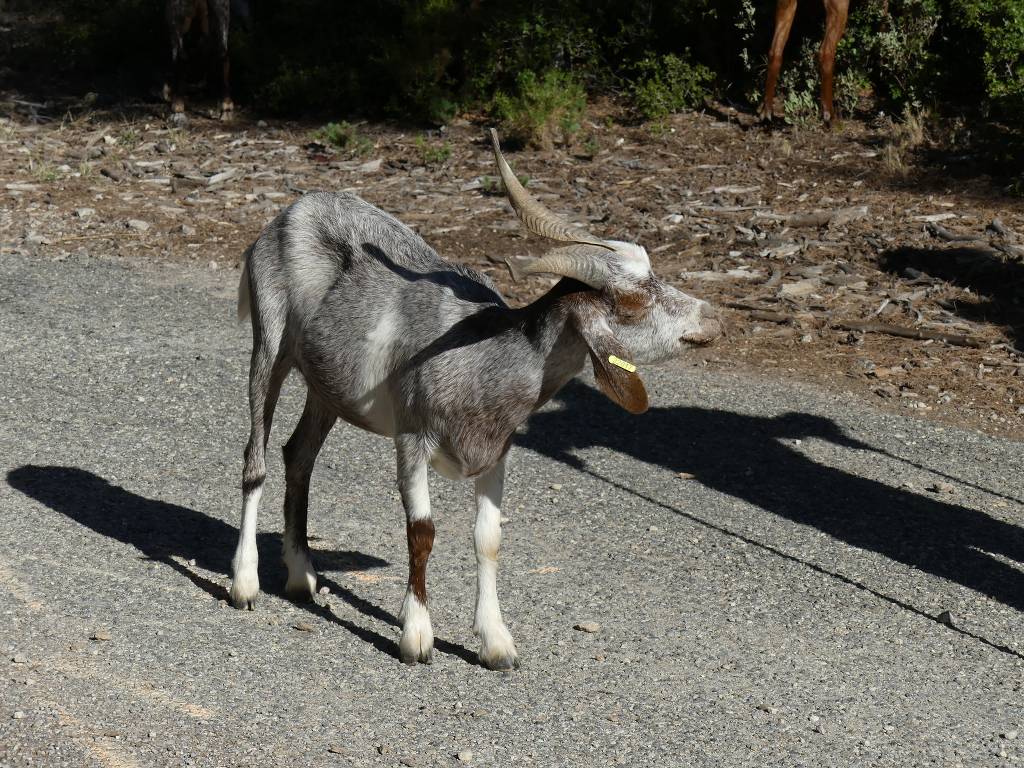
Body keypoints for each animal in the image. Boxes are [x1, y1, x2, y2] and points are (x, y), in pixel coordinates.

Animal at [228, 129, 724, 671]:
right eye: (632, 299)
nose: (714, 319)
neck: (480, 356)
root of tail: (294, 211)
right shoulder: (412, 439)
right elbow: (422, 531)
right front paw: (416, 637)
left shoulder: (495, 453)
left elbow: (489, 539)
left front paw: (496, 643)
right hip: (270, 344)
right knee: (256, 458)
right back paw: (245, 583)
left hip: (327, 389)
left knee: (299, 455)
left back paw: (301, 575)